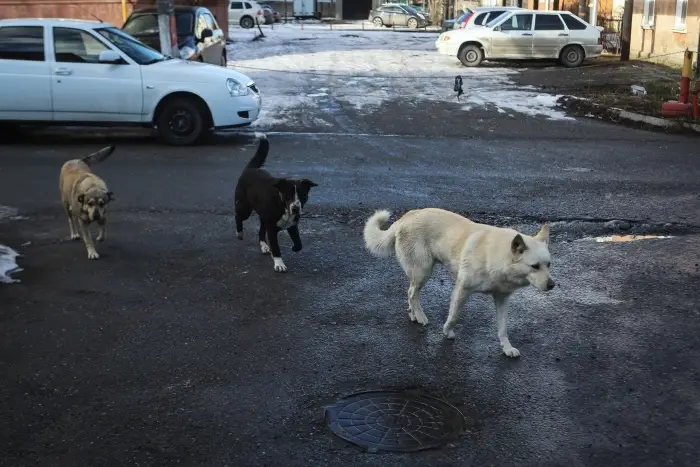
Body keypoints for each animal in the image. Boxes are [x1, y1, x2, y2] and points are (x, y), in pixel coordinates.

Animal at [234, 133, 318, 272]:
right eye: (288, 196)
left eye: (303, 195)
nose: (296, 208)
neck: (282, 205)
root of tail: (251, 168)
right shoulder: (272, 229)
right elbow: (276, 247)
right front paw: (279, 263)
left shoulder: (292, 225)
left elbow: (299, 243)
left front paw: (294, 248)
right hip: (245, 207)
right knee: (238, 216)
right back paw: (239, 233)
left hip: (262, 216)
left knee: (261, 232)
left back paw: (264, 246)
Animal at [364, 208, 556, 358]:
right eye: (534, 266)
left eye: (548, 264)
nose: (552, 285)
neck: (498, 256)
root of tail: (406, 217)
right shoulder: (462, 289)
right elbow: (454, 316)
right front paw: (447, 331)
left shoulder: (502, 298)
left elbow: (503, 328)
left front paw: (507, 348)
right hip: (423, 272)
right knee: (412, 293)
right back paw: (420, 315)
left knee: (410, 293)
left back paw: (413, 314)